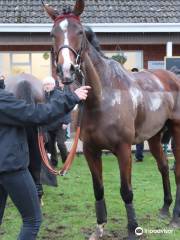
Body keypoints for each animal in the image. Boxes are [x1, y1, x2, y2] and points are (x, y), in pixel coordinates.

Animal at [43, 0, 180, 239]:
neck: (102, 97)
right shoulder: (91, 150)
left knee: (177, 171)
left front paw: (133, 229)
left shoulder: (124, 149)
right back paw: (165, 208)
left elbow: (126, 191)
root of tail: (171, 76)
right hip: (154, 136)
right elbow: (98, 189)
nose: (66, 70)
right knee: (163, 167)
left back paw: (175, 218)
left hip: (177, 133)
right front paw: (99, 227)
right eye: (53, 34)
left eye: (80, 32)